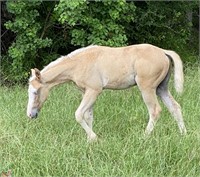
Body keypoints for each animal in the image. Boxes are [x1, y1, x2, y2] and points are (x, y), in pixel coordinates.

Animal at [26, 44, 186, 141]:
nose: (30, 115)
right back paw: (183, 134)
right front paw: (89, 140)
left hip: (147, 89)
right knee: (175, 107)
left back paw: (144, 136)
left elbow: (78, 114)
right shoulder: (86, 93)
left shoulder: (94, 91)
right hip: (161, 88)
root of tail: (163, 52)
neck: (79, 63)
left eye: (35, 91)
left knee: (155, 110)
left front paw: (93, 137)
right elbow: (88, 116)